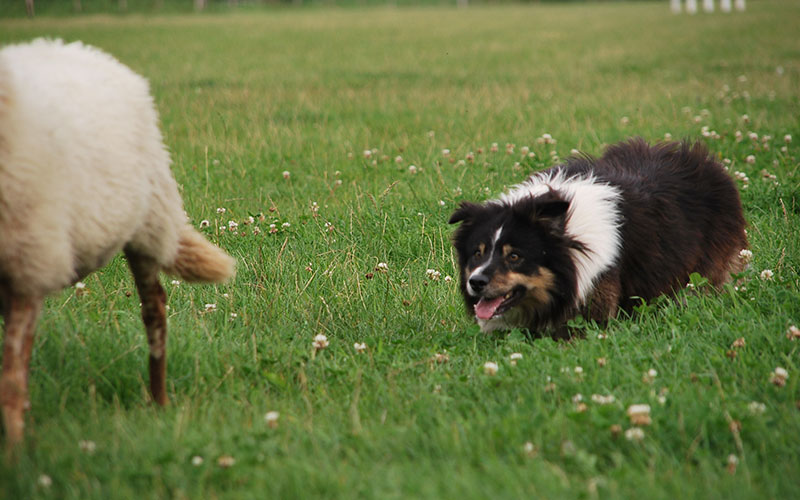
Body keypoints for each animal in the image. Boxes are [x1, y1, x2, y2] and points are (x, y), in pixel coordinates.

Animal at [0, 37, 234, 448]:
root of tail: (84, 49)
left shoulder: (29, 264)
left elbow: (11, 382)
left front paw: (14, 454)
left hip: (146, 224)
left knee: (154, 309)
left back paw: (159, 402)